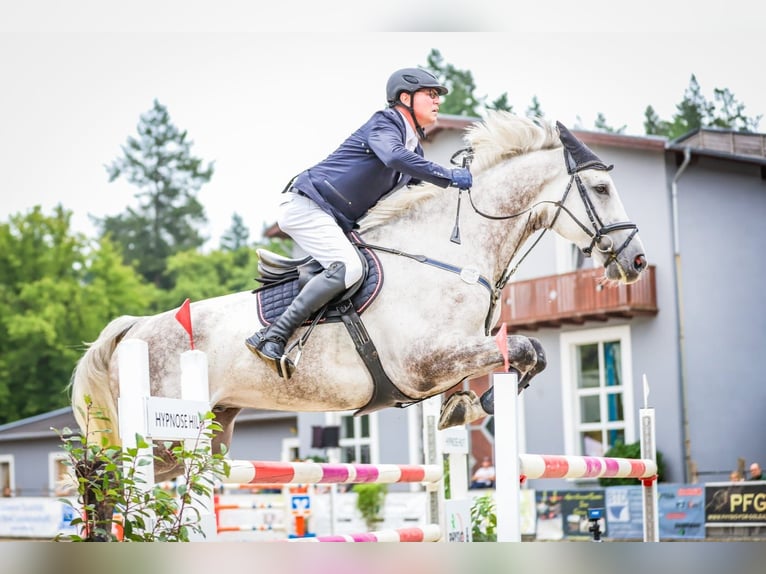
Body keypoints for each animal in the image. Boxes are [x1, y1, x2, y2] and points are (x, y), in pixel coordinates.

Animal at [70, 111, 647, 482]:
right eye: (600, 190)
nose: (637, 262)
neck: (452, 256)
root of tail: (135, 328)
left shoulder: (456, 353)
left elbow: (526, 355)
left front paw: (466, 406)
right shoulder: (425, 361)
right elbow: (527, 349)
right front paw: (483, 403)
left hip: (202, 436)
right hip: (161, 434)